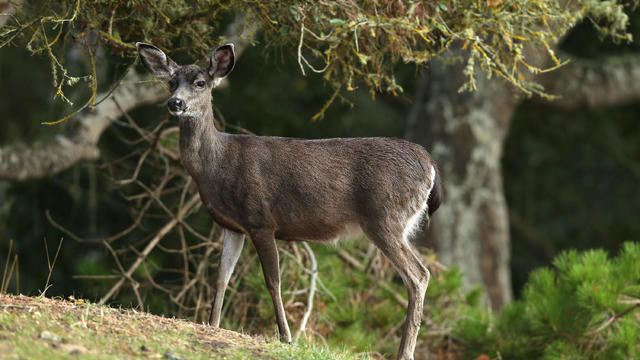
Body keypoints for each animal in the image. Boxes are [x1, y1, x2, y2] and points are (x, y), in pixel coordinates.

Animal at [138, 40, 442, 358]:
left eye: (200, 83)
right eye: (171, 82)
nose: (175, 103)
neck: (216, 166)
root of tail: (431, 164)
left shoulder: (260, 218)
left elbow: (273, 280)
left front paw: (286, 336)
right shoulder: (232, 226)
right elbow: (222, 276)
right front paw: (212, 323)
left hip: (385, 216)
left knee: (419, 275)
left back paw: (405, 351)